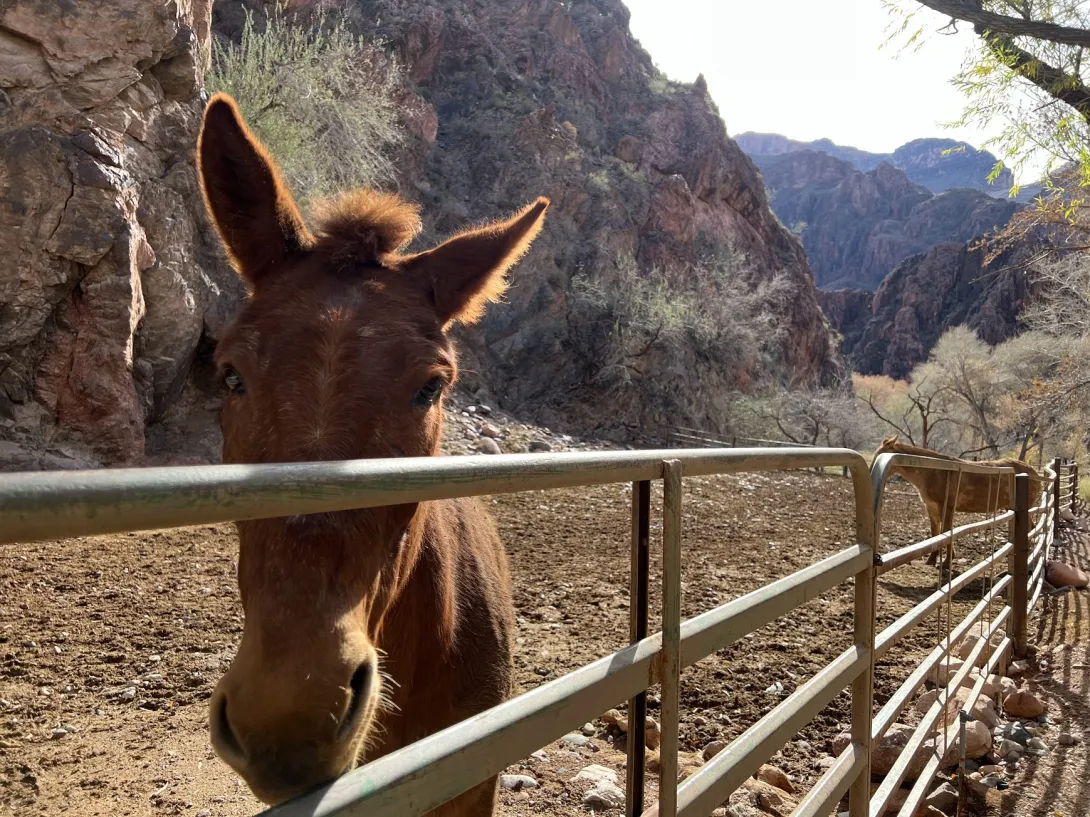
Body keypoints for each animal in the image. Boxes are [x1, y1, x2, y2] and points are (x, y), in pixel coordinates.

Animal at [867, 437, 1037, 566]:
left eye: (880, 455)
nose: (870, 475)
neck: (933, 472)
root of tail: (1034, 472)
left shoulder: (946, 507)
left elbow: (946, 532)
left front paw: (947, 562)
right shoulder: (931, 507)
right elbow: (936, 533)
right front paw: (932, 560)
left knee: (1031, 527)